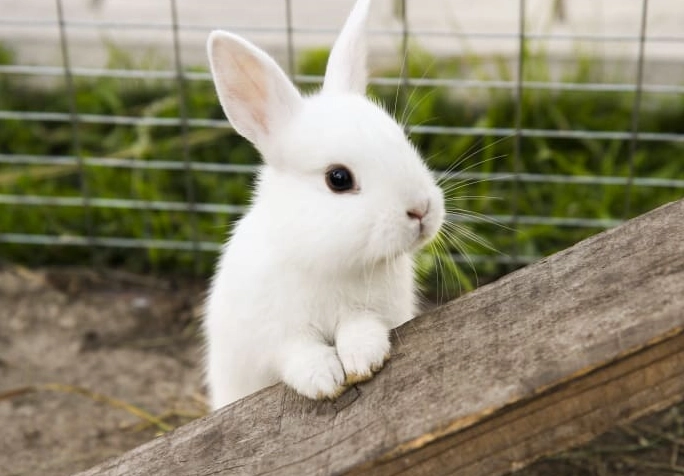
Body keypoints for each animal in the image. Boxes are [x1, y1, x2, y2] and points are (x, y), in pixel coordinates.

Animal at [204, 0, 445, 410]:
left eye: (402, 139)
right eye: (338, 178)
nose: (421, 210)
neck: (328, 261)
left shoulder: (374, 311)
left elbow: (361, 328)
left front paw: (363, 358)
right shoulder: (275, 336)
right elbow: (298, 353)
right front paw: (324, 379)